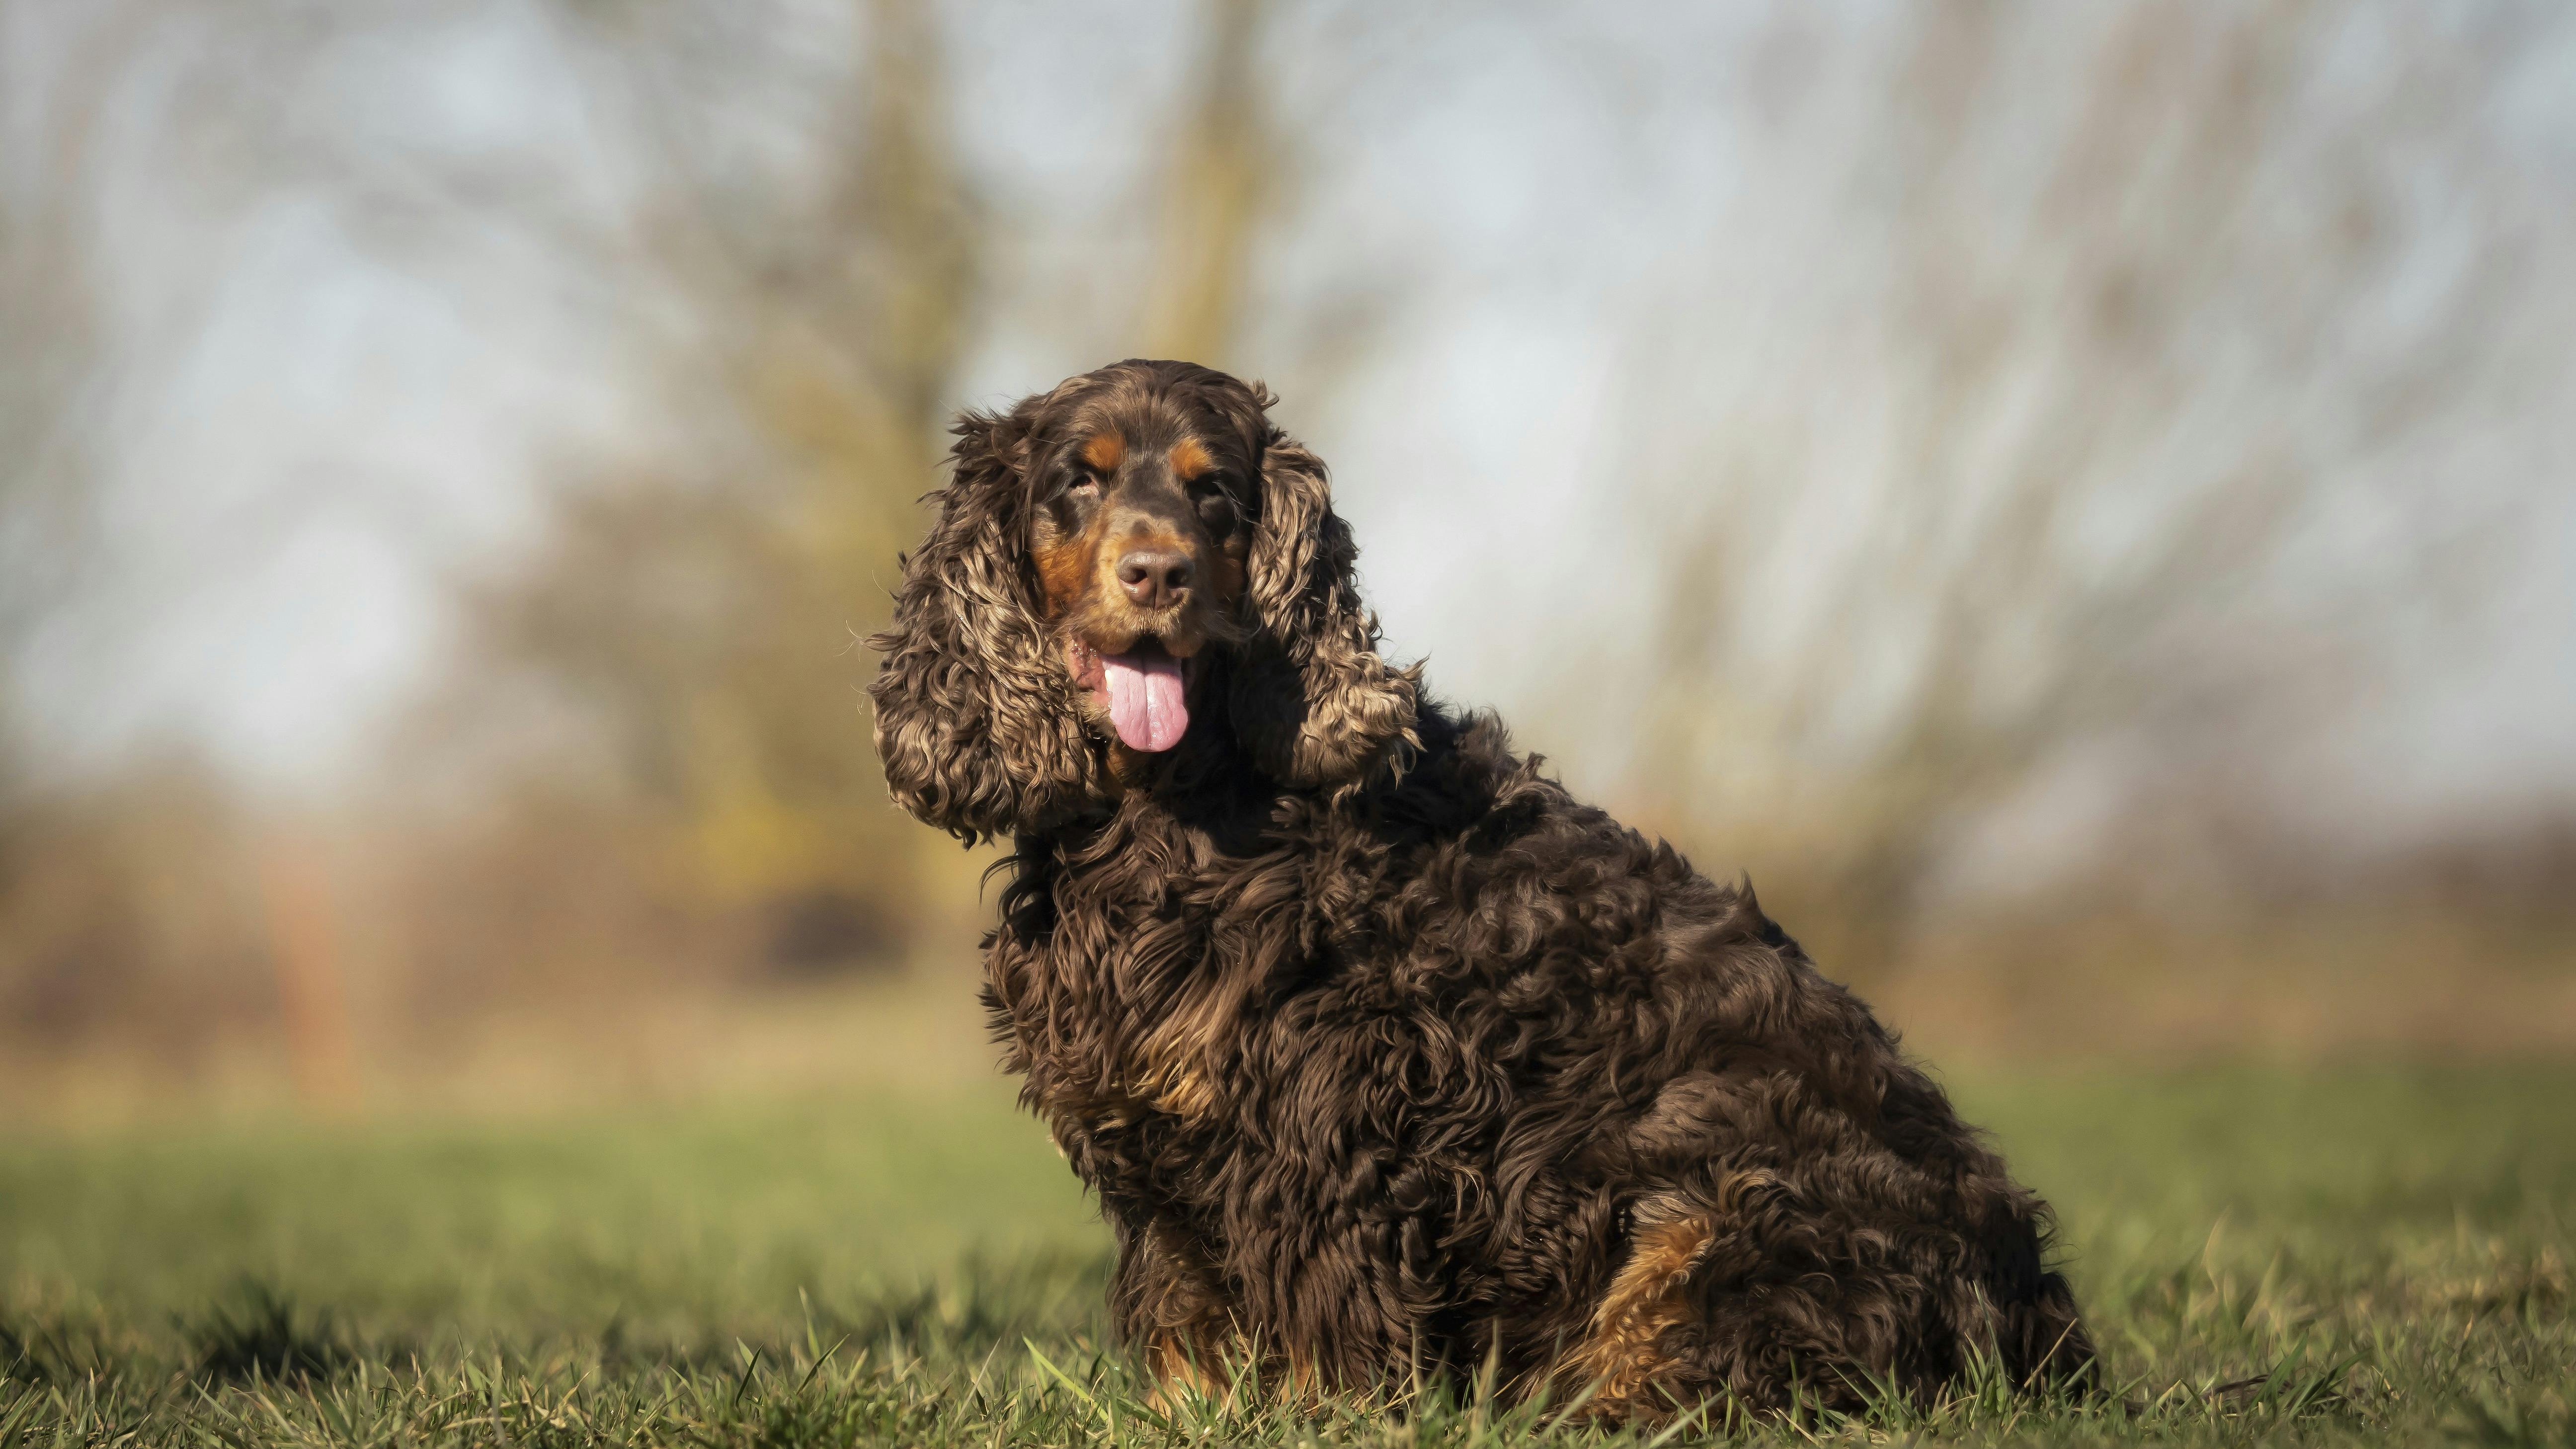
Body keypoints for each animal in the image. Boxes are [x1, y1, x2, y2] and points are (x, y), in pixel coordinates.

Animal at [865, 358, 2092, 1413]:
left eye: (1216, 496)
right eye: (1079, 480)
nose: (1157, 573)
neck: (1169, 813)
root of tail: (2039, 1316)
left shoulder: (1326, 1121)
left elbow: (1323, 1320)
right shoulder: (1160, 1144)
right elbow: (1183, 1315)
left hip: (1723, 1206)